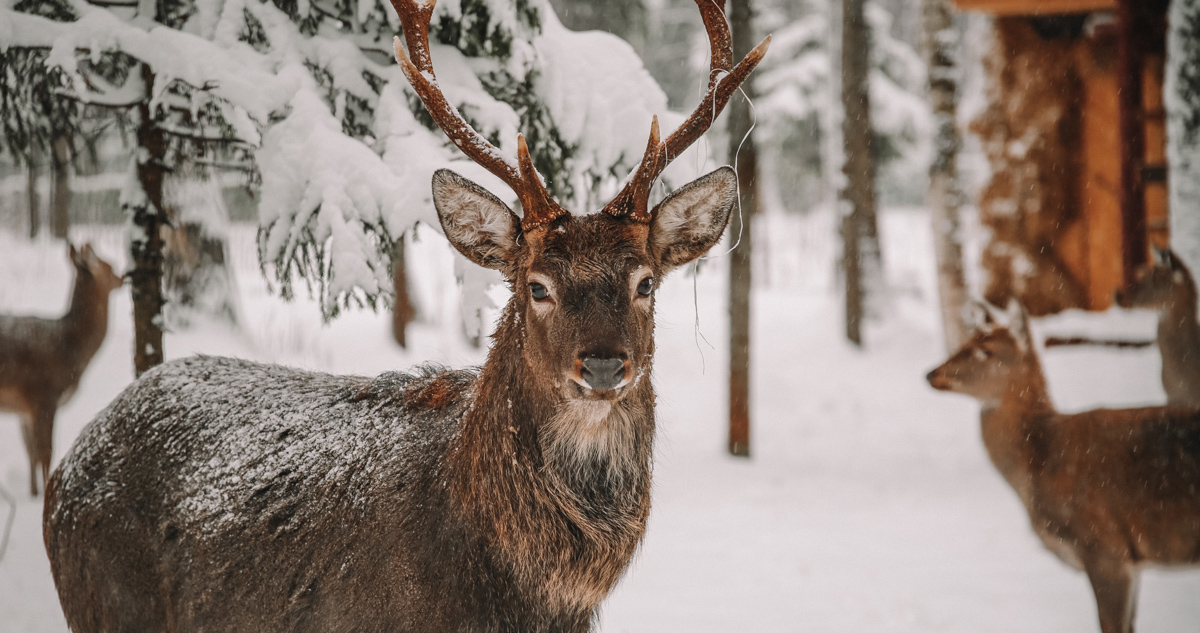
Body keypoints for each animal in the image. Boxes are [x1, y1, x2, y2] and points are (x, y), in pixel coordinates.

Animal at [0, 244, 123, 496]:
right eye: (109, 265)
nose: (123, 277)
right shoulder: (43, 394)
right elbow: (45, 453)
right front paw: (44, 493)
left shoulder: (23, 409)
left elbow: (31, 452)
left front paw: (33, 492)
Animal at [926, 302, 1200, 633]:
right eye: (965, 343)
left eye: (985, 350)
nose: (931, 374)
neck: (1040, 459)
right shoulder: (1130, 562)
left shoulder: (1105, 547)